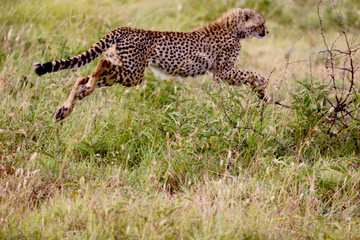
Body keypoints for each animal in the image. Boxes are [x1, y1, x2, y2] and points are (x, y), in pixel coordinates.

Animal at [33, 8, 268, 121]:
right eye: (261, 23)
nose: (267, 31)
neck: (235, 28)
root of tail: (126, 28)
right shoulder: (223, 72)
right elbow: (251, 73)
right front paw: (263, 84)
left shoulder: (220, 73)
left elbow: (248, 75)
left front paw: (261, 91)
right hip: (133, 73)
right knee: (101, 64)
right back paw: (82, 94)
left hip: (126, 70)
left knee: (85, 76)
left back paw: (66, 108)